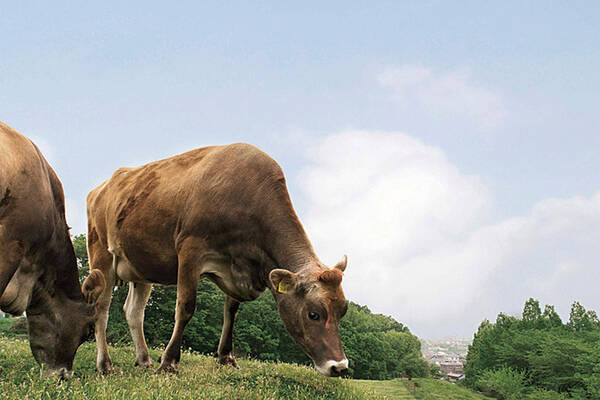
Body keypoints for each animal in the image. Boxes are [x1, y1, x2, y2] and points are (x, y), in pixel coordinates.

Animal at [82, 143, 350, 377]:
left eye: (343, 311)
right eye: (313, 314)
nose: (339, 367)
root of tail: (100, 188)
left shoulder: (239, 267)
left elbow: (231, 312)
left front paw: (226, 358)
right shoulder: (190, 249)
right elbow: (186, 307)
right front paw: (169, 362)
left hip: (141, 266)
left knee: (134, 311)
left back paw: (144, 359)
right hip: (101, 254)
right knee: (102, 308)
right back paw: (105, 365)